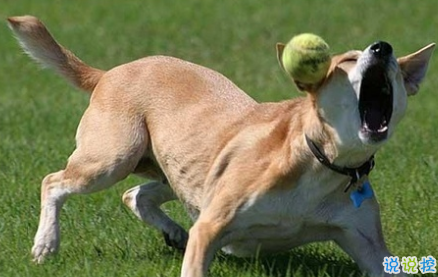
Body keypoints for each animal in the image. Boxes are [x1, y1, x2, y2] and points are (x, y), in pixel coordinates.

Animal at [6, 15, 434, 276]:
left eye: (396, 70)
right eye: (346, 59)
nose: (383, 48)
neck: (321, 160)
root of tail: (108, 73)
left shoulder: (365, 240)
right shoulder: (214, 222)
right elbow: (201, 244)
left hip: (182, 167)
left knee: (137, 194)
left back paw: (171, 230)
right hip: (114, 155)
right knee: (54, 181)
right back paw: (46, 244)